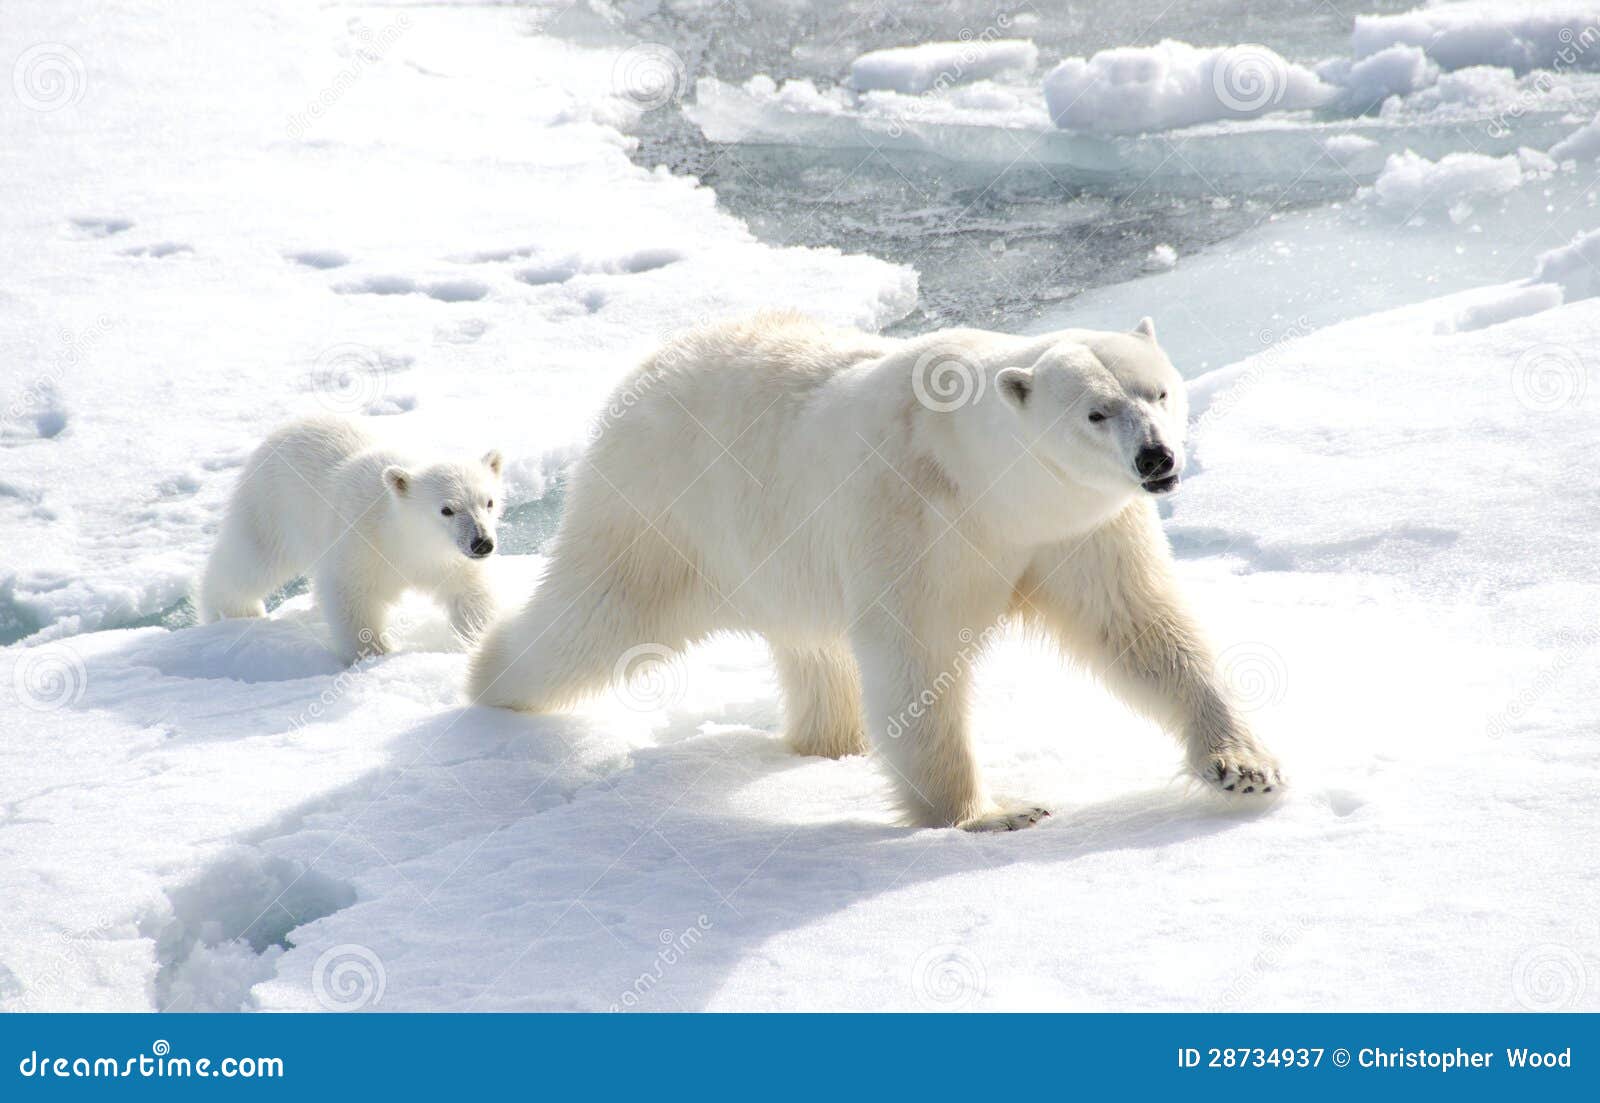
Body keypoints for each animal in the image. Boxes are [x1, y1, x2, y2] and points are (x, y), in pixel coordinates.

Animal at [467, 310, 1280, 826]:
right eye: (1095, 412)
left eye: (1160, 391)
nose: (1157, 459)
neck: (985, 480)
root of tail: (647, 366)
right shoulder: (908, 513)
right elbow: (916, 654)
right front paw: (989, 812)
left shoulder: (1080, 528)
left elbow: (1140, 627)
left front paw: (1243, 766)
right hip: (661, 508)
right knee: (592, 619)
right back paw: (488, 682)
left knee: (814, 652)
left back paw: (831, 743)